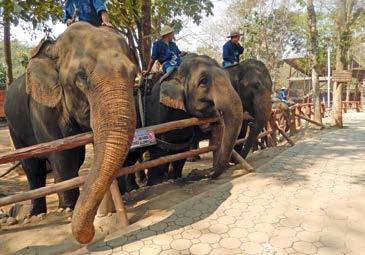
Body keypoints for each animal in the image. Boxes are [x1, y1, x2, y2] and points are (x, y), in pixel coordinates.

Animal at [4, 22, 137, 244]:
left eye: (134, 73)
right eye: (81, 76)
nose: (92, 231)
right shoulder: (43, 109)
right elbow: (62, 154)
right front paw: (68, 209)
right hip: (14, 126)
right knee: (32, 165)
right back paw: (37, 214)